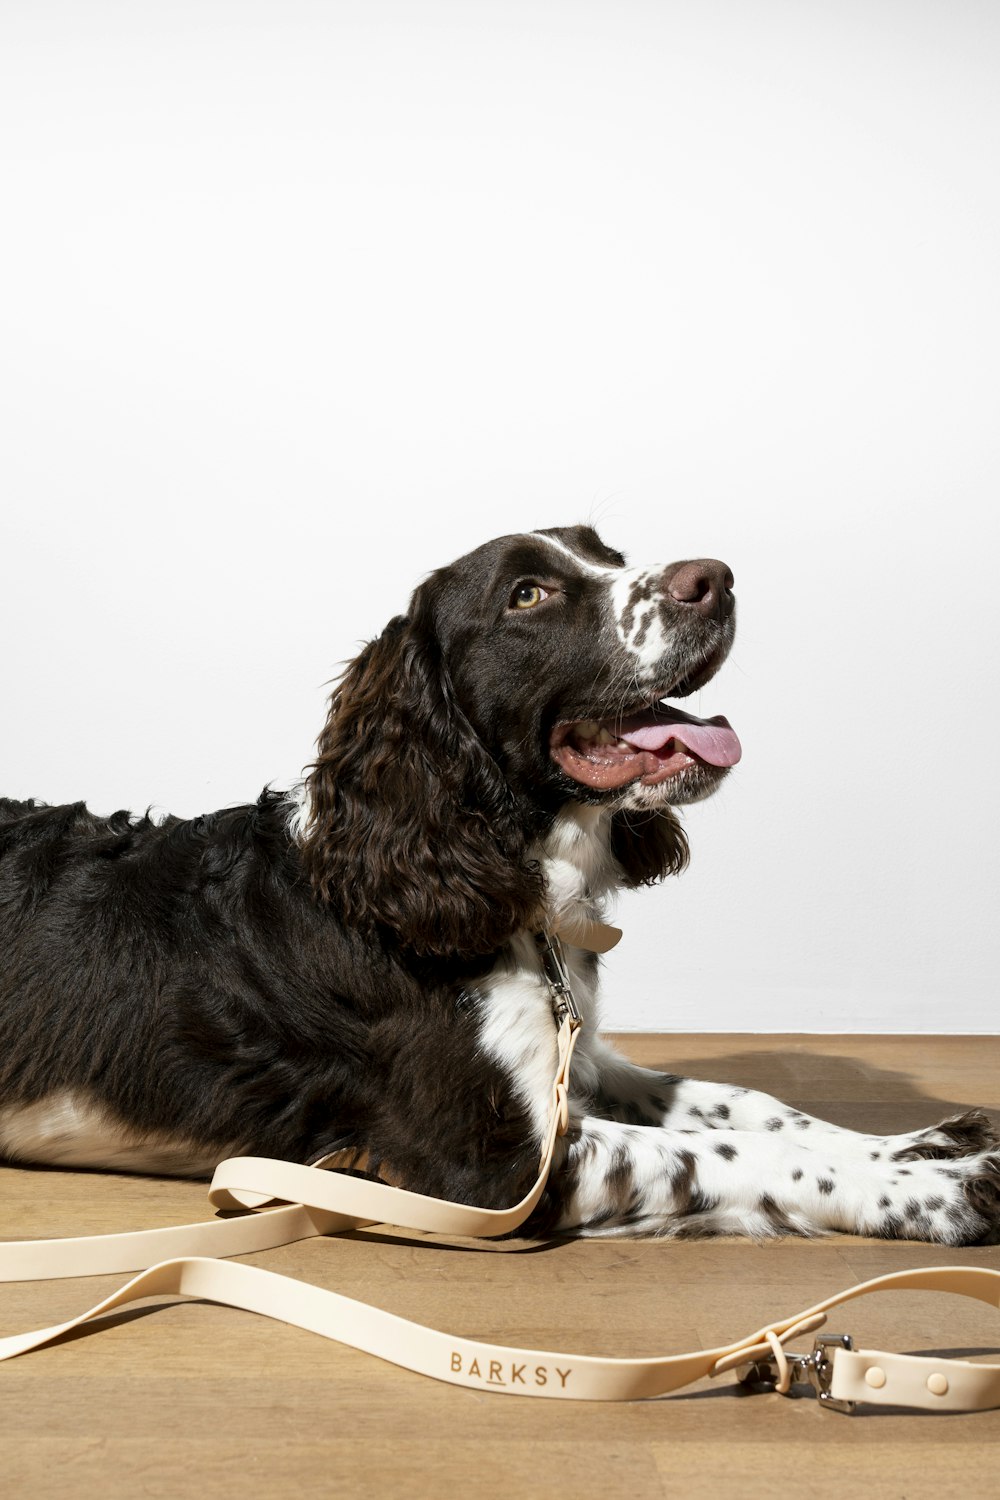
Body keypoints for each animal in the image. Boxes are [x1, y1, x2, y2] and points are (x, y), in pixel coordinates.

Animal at [0, 528, 995, 1242]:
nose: (715, 577)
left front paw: (922, 1142)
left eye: (609, 553)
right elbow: (713, 1152)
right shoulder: (490, 1165)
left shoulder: (570, 1062)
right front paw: (934, 1190)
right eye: (528, 594)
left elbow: (750, 1106)